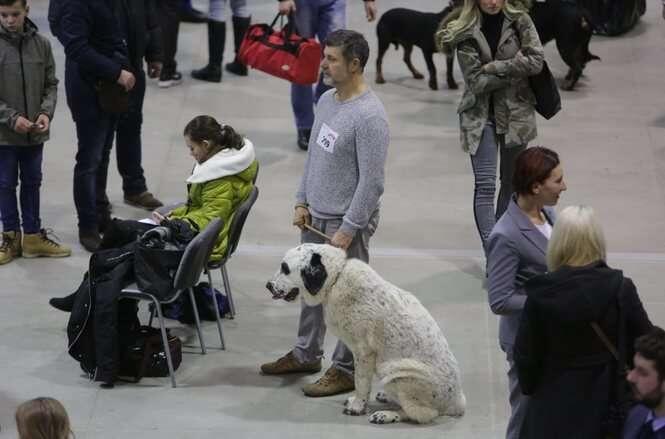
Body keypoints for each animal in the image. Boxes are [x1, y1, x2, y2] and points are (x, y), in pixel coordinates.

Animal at [266, 244, 466, 424]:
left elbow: (360, 382)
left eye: (285, 268)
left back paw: (386, 415)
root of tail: (457, 404)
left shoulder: (363, 352)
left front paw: (357, 406)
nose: (268, 285)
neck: (336, 279)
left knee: (422, 413)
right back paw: (386, 397)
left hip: (394, 371)